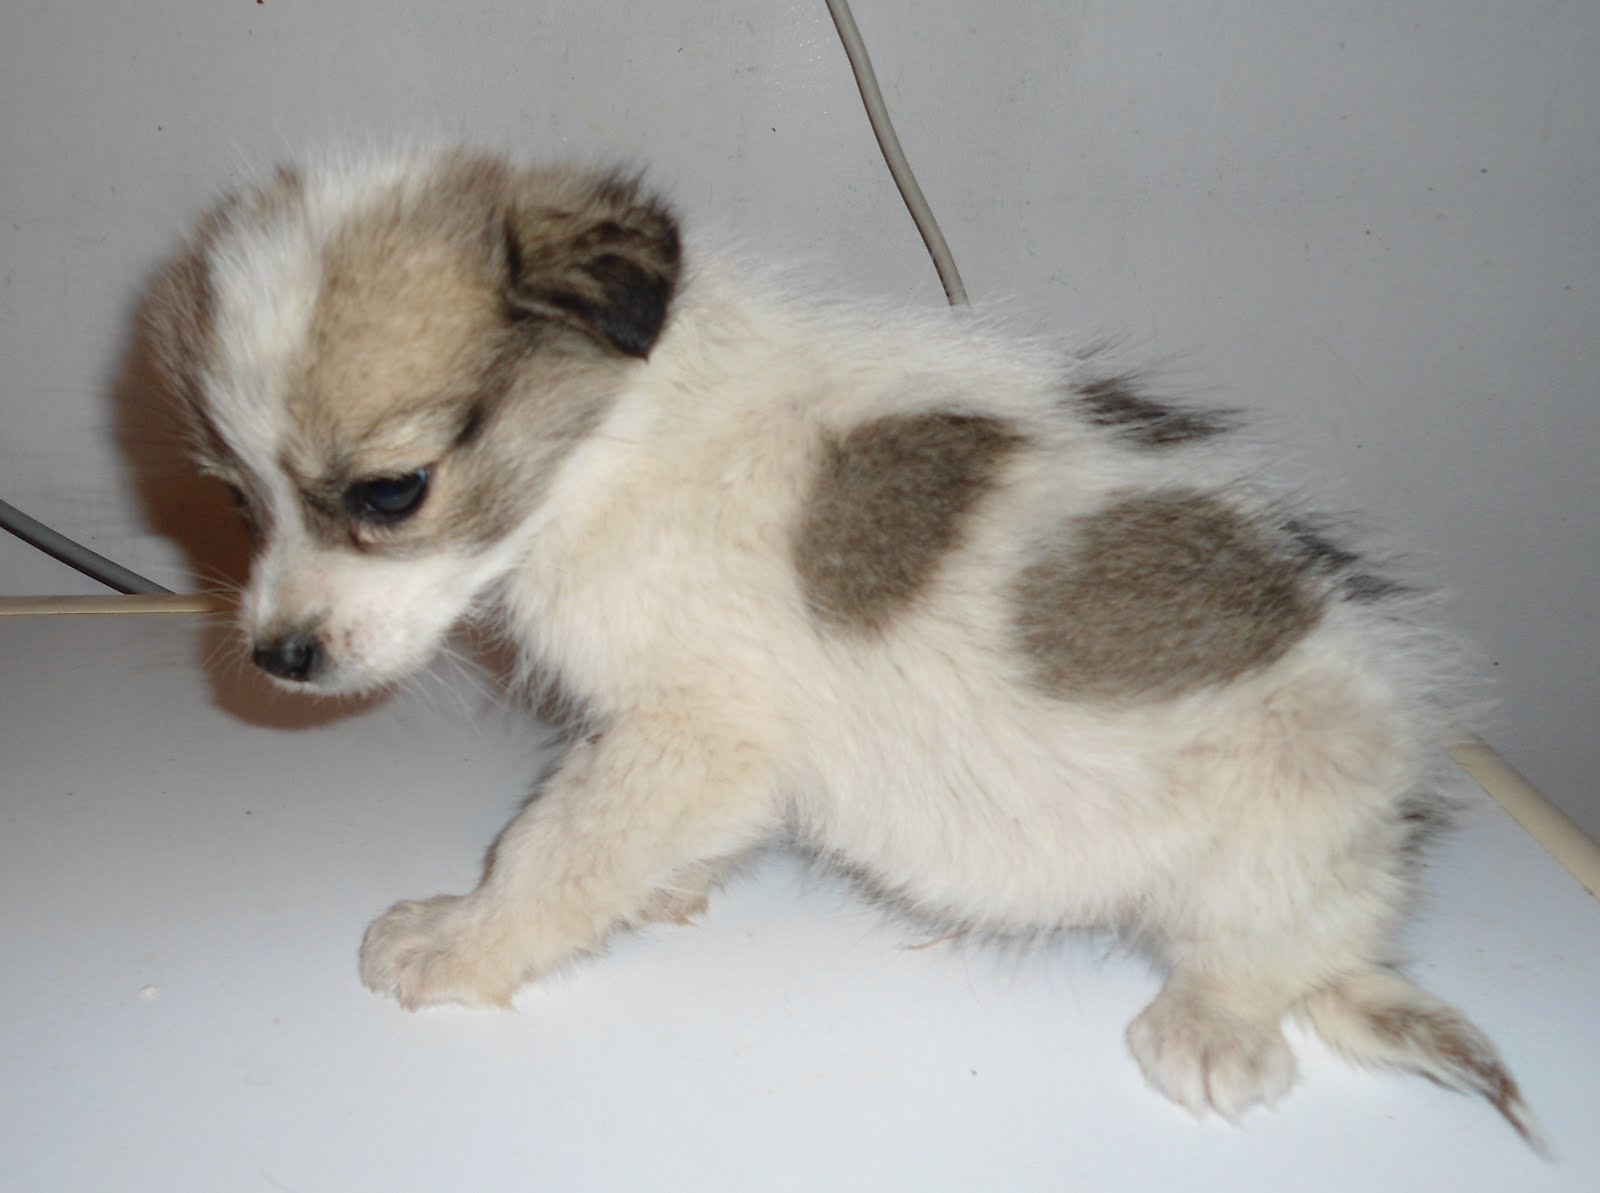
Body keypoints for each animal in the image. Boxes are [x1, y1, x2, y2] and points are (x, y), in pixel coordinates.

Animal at [145, 146, 1537, 1144]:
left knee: (1269, 950)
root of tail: (1388, 842)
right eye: (234, 501)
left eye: (391, 492)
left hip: (1295, 798)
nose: (275, 658)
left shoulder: (694, 728)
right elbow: (641, 837)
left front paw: (465, 934)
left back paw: (1213, 1023)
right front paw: (664, 884)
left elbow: (555, 844)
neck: (614, 439)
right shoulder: (710, 751)